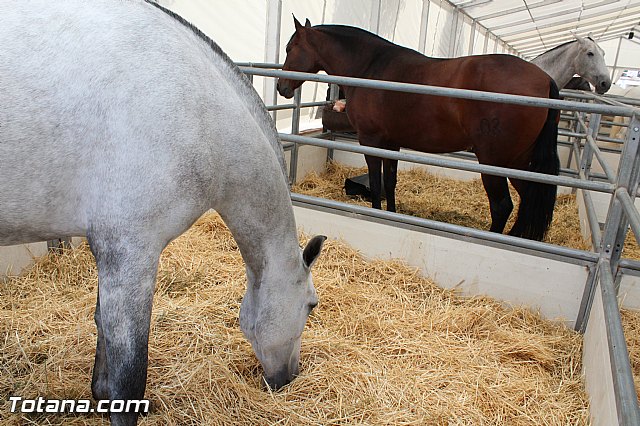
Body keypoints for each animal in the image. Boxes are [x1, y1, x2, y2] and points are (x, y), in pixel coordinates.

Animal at [0, 2, 325, 425]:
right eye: (311, 306)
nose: (289, 377)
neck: (200, 111)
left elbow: (103, 334)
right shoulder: (130, 255)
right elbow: (128, 376)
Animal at [278, 18, 560, 241]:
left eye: (290, 48)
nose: (281, 87)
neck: (370, 67)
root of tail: (545, 79)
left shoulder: (370, 141)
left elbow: (377, 183)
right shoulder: (391, 143)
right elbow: (390, 181)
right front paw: (391, 214)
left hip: (494, 162)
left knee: (502, 206)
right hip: (519, 162)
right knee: (527, 198)